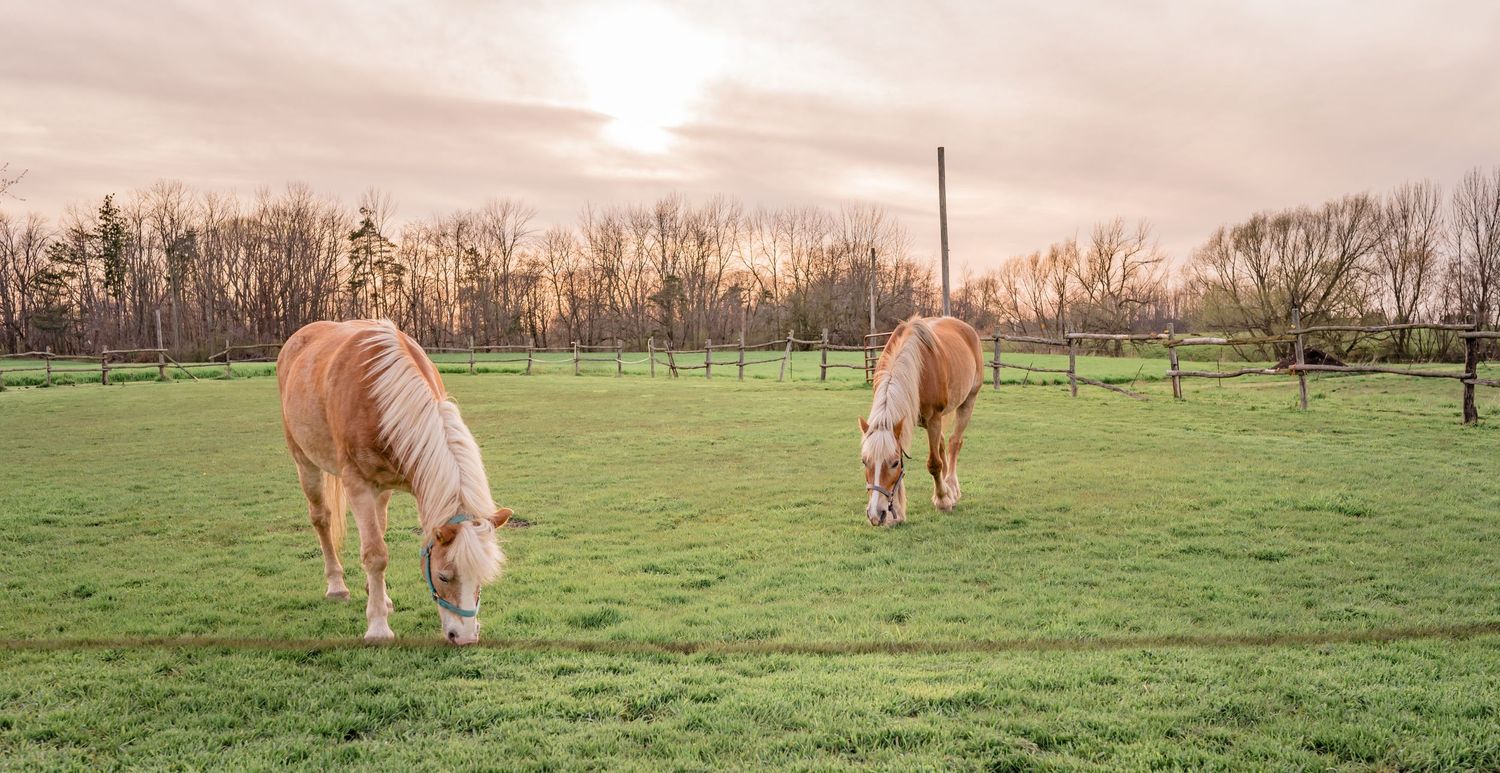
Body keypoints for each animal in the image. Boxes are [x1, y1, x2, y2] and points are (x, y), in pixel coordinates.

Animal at [277, 320, 512, 644]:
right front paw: (378, 628)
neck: (380, 396)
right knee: (321, 518)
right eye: (443, 576)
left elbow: (378, 542)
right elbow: (375, 554)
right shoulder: (357, 483)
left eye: (481, 576)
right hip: (305, 461)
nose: (464, 637)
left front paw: (379, 600)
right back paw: (337, 586)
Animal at [859, 315, 984, 526]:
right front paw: (896, 513)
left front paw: (943, 501)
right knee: (942, 445)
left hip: (968, 401)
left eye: (894, 463)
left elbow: (934, 464)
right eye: (864, 461)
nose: (875, 514)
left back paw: (951, 488)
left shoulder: (933, 418)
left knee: (954, 443)